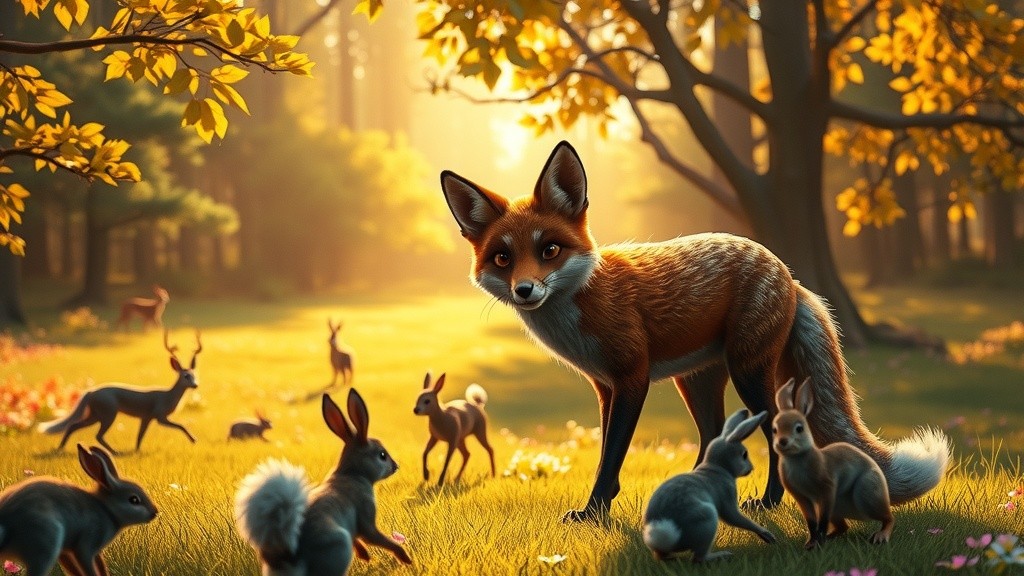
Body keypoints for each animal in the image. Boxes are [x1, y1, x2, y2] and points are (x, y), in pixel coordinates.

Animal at [0, 444, 158, 576]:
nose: (154, 512)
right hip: (47, 541)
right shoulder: (86, 544)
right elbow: (87, 564)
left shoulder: (72, 551)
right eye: (134, 500)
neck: (106, 509)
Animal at [235, 389, 412, 575]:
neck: (353, 473)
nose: (396, 466)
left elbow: (357, 540)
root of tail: (289, 557)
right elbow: (374, 537)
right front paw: (406, 558)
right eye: (382, 455)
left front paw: (364, 556)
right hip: (339, 546)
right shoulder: (366, 517)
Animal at [643, 409, 776, 562]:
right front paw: (767, 535)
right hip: (707, 519)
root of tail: (666, 540)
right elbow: (735, 517)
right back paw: (722, 555)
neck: (718, 466)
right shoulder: (727, 496)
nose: (751, 468)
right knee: (699, 557)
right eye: (744, 454)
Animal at [772, 377, 894, 549]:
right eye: (775, 429)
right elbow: (811, 522)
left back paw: (880, 537)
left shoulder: (827, 488)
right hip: (838, 508)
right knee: (843, 527)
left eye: (799, 428)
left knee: (888, 518)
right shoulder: (802, 496)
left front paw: (817, 543)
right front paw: (811, 544)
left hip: (867, 492)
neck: (798, 458)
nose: (782, 442)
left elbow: (822, 520)